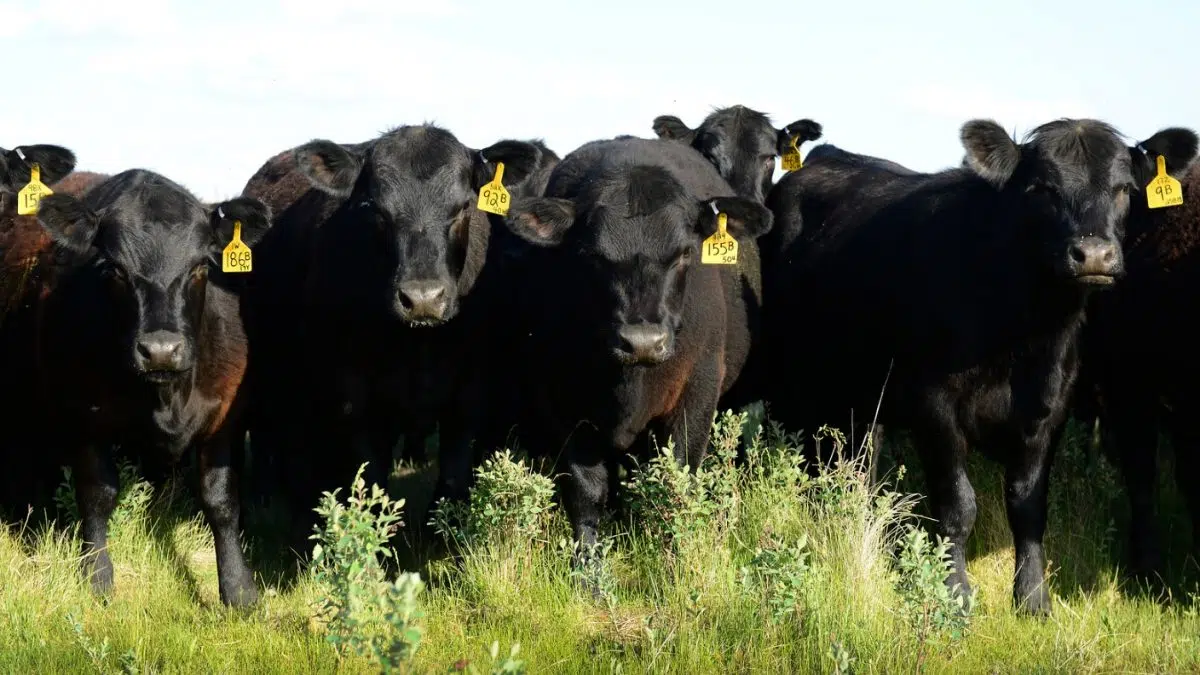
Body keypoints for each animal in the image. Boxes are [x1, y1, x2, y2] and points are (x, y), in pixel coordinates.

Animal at [15, 169, 273, 607]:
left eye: (201, 266)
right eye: (114, 269)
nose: (161, 351)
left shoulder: (225, 418)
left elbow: (221, 501)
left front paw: (239, 590)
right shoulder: (81, 415)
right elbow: (97, 495)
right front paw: (98, 577)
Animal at [241, 124, 546, 546]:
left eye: (463, 207)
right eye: (375, 210)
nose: (423, 299)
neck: (418, 349)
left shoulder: (468, 395)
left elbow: (452, 479)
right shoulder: (358, 401)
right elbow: (371, 487)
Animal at [495, 136, 773, 549]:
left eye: (685, 253)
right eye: (591, 255)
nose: (643, 342)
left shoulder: (698, 389)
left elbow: (678, 477)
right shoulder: (559, 400)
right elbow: (586, 490)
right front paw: (589, 561)